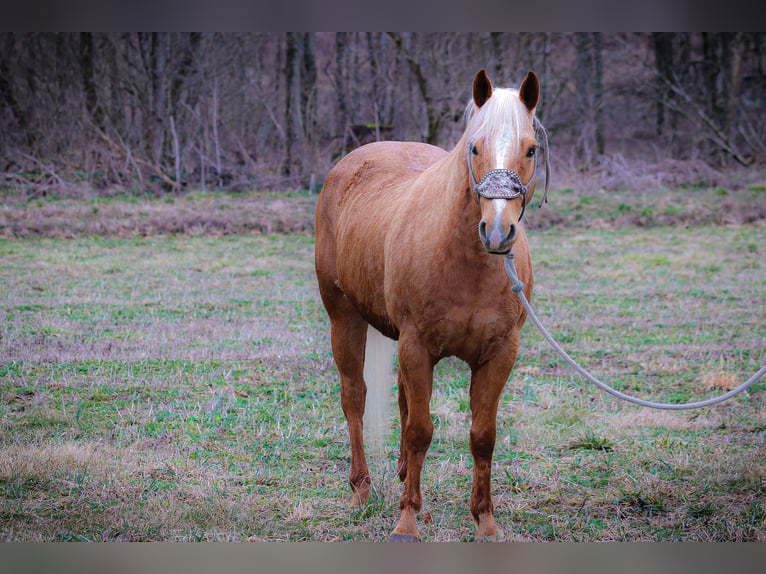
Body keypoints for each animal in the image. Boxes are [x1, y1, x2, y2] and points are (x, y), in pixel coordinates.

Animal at [316, 70, 548, 544]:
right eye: (474, 147)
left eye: (531, 148)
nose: (497, 231)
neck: (467, 260)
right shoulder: (417, 346)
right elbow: (421, 430)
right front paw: (405, 524)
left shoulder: (500, 354)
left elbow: (482, 435)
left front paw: (485, 523)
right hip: (344, 319)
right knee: (355, 399)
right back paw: (362, 491)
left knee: (403, 402)